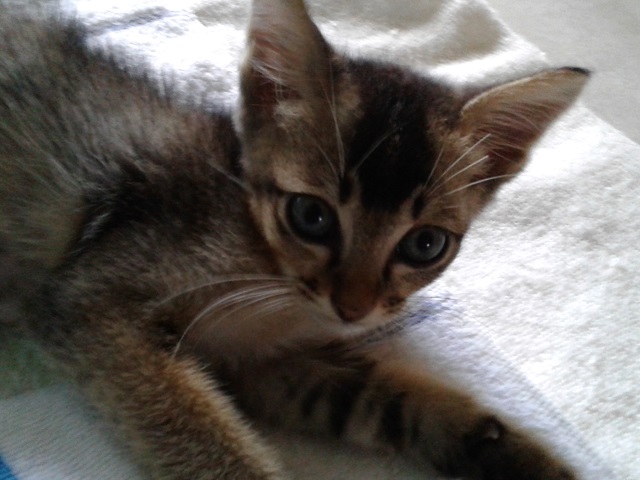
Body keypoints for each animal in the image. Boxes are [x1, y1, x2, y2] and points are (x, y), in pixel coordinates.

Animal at [0, 0, 589, 478]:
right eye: (311, 215)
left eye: (425, 245)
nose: (353, 309)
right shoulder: (90, 301)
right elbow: (198, 435)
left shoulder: (264, 363)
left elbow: (377, 397)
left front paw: (507, 449)